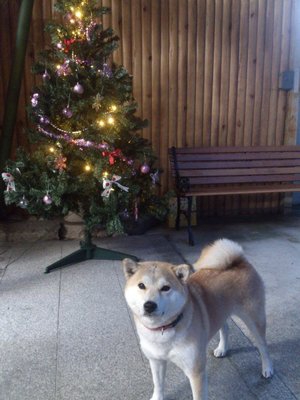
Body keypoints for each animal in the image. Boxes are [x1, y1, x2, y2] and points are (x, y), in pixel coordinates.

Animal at [122, 239, 274, 398]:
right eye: (141, 285)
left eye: (165, 288)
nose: (149, 305)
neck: (163, 329)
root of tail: (240, 261)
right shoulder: (156, 360)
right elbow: (158, 385)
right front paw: (157, 397)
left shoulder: (196, 371)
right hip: (220, 311)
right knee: (225, 328)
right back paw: (222, 349)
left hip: (254, 318)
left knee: (262, 345)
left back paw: (267, 368)